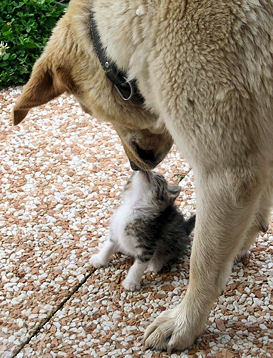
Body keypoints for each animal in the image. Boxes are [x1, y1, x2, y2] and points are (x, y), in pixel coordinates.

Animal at [11, 0, 270, 352]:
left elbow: (203, 266)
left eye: (87, 110)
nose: (137, 167)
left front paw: (184, 324)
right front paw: (244, 240)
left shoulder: (226, 173)